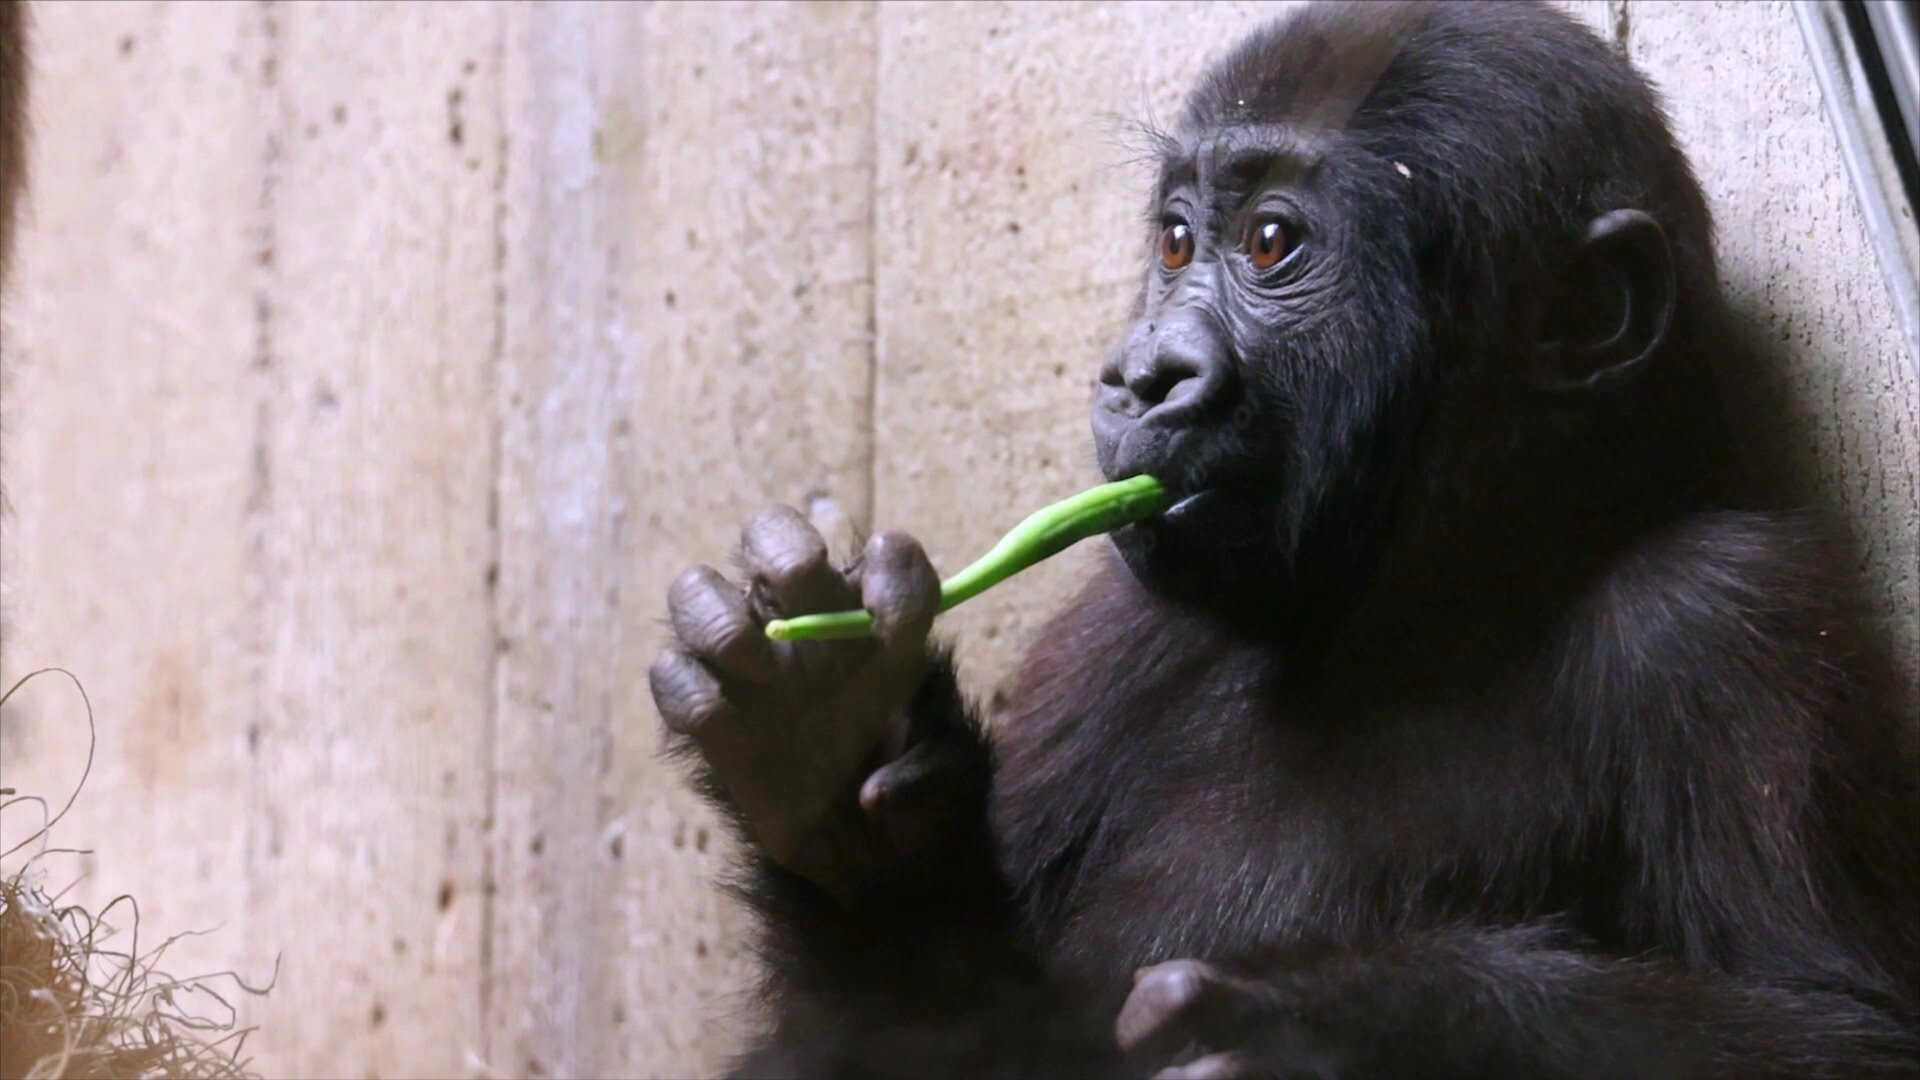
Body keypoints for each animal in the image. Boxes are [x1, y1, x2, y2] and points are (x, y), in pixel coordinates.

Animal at [651, 2, 1920, 1076]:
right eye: (1173, 244)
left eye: (1269, 243)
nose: (1139, 375)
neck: (1437, 598)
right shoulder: (1115, 632)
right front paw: (825, 757)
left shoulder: (1731, 616)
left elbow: (1842, 1030)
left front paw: (1345, 1024)